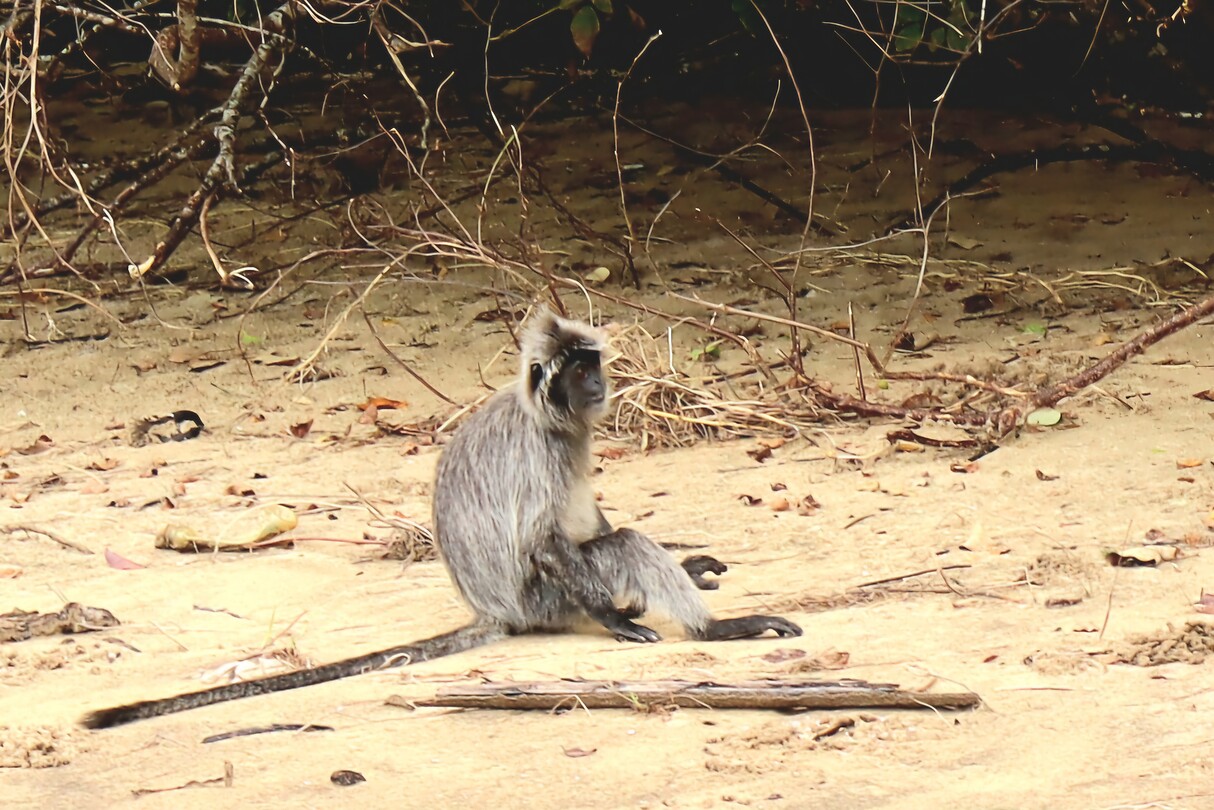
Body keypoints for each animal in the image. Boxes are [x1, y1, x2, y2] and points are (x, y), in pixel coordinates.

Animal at [83, 311, 801, 729]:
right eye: (579, 372)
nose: (598, 385)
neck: (547, 417)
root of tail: (495, 612)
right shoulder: (542, 457)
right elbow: (545, 538)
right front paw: (619, 619)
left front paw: (690, 565)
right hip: (546, 600)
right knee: (618, 546)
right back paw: (715, 629)